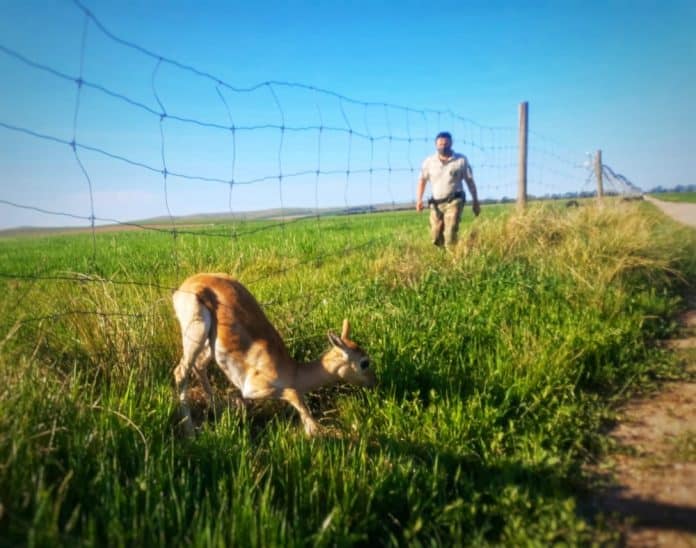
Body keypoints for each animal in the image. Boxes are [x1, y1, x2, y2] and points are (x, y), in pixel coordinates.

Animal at [172, 274, 378, 436]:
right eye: (364, 362)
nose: (374, 382)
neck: (292, 371)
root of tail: (183, 287)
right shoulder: (253, 389)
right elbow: (295, 396)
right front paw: (318, 431)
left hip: (209, 345)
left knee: (199, 367)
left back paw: (217, 410)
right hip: (196, 334)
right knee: (180, 372)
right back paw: (190, 432)